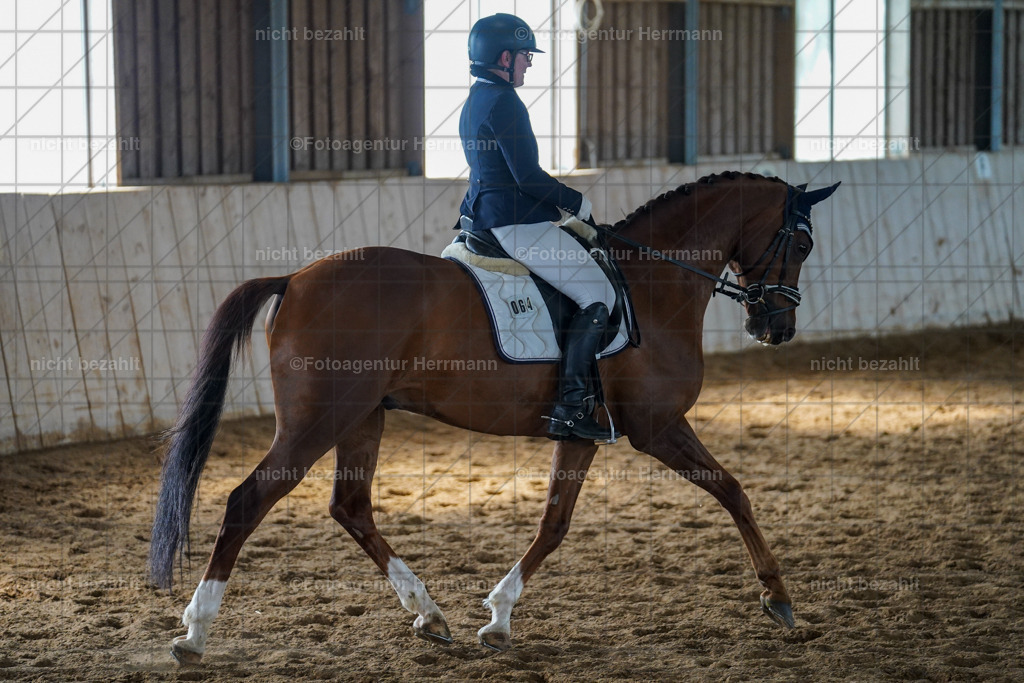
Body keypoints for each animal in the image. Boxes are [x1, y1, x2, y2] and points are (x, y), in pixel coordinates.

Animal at [150, 172, 840, 663]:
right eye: (804, 242)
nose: (776, 328)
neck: (652, 283)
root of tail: (294, 277)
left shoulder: (587, 433)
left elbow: (555, 524)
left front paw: (500, 617)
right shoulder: (656, 427)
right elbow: (733, 490)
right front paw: (778, 598)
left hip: (362, 417)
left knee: (350, 507)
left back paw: (429, 614)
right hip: (318, 419)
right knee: (248, 500)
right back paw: (195, 633)